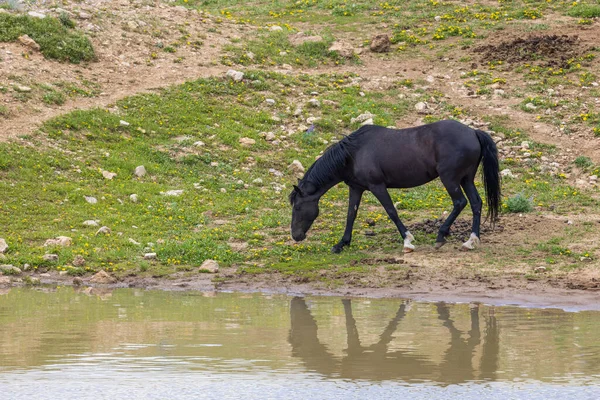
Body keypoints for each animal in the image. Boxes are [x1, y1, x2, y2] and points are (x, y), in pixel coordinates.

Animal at [290, 119, 502, 252]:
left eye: (298, 207)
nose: (295, 236)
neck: (354, 153)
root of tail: (473, 132)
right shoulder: (356, 188)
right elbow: (351, 215)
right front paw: (341, 244)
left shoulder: (377, 186)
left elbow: (391, 211)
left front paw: (407, 240)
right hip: (466, 179)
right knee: (476, 203)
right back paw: (471, 241)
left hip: (450, 179)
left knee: (460, 203)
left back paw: (441, 236)